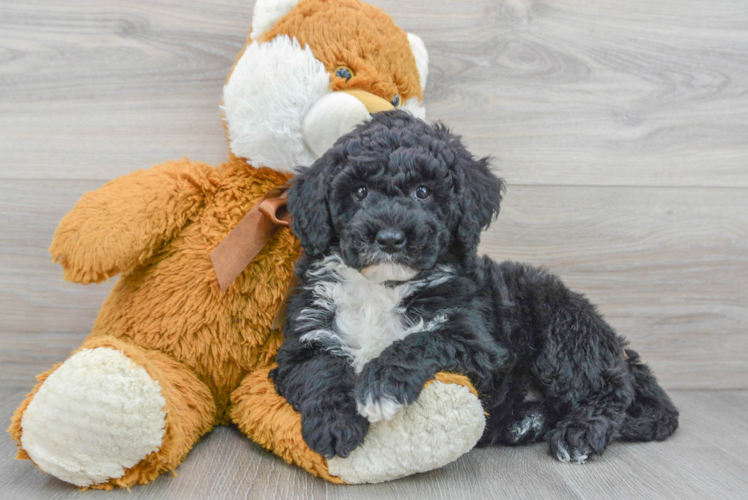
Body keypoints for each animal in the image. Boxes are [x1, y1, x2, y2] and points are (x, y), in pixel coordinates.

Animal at [270, 111, 676, 462]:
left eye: (422, 192)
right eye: (359, 192)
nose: (389, 238)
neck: (384, 285)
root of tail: (614, 343)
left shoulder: (481, 344)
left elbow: (421, 341)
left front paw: (381, 383)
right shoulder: (306, 338)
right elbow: (319, 371)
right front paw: (334, 423)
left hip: (561, 329)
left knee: (610, 390)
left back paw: (579, 434)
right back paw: (524, 424)